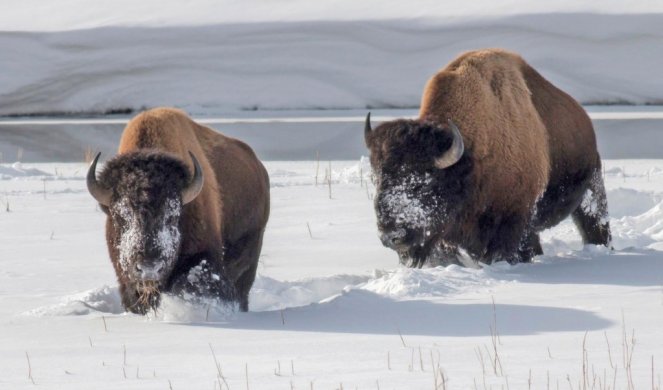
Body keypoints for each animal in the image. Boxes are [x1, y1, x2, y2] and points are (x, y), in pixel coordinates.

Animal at [368, 48, 612, 266]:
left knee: (596, 225)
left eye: (422, 183)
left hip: (592, 192)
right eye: (377, 180)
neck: (471, 158)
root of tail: (583, 117)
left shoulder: (514, 220)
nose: (391, 236)